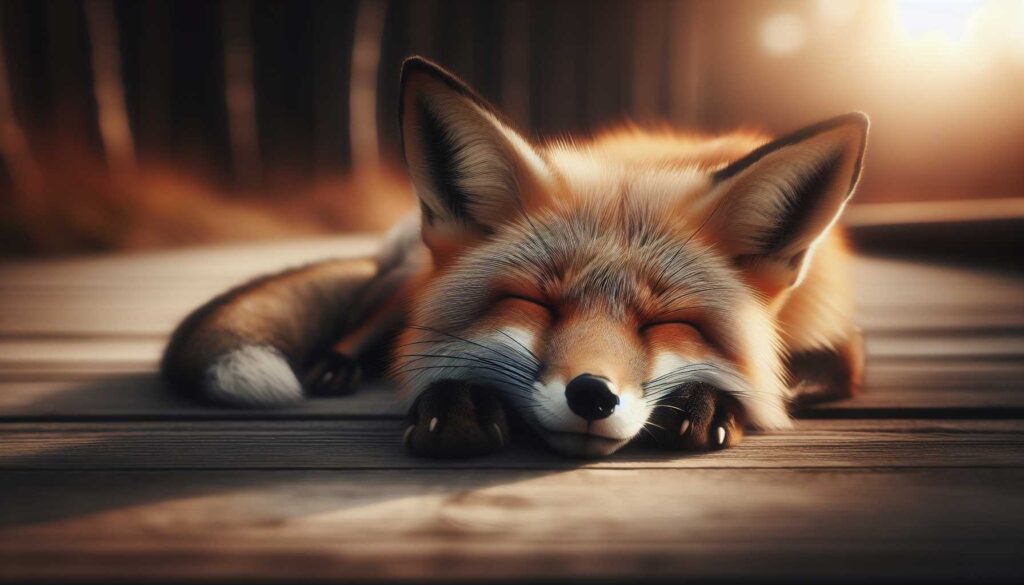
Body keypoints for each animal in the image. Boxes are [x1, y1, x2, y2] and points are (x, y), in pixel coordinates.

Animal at [162, 56, 868, 459]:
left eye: (666, 323)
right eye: (534, 303)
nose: (592, 395)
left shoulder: (838, 349)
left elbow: (780, 379)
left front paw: (712, 401)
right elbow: (443, 355)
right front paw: (459, 400)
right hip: (410, 282)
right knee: (379, 326)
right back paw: (336, 365)